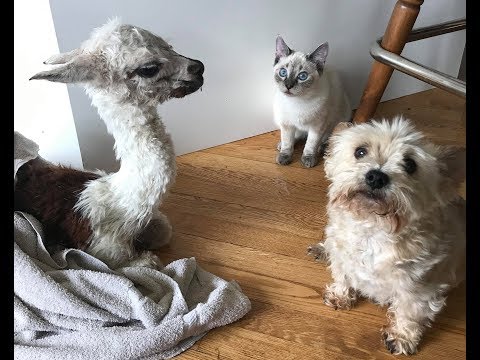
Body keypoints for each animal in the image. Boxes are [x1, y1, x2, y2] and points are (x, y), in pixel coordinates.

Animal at [308, 117, 464, 354]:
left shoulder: (419, 288)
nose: (376, 176)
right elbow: (342, 276)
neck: (372, 228)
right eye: (360, 151)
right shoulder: (343, 258)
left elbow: (410, 312)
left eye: (410, 165)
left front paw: (401, 337)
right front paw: (340, 295)